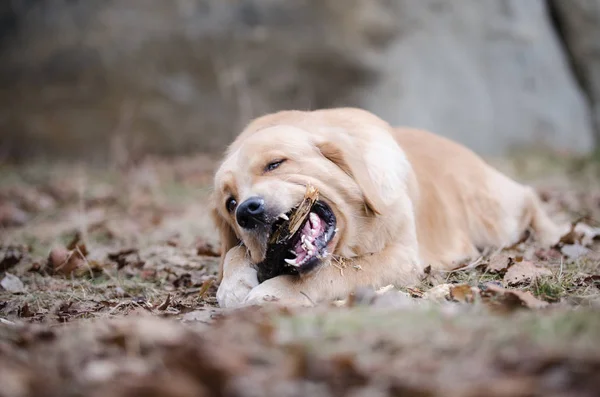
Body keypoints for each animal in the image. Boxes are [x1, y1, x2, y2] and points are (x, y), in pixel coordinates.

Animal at [211, 106, 564, 308]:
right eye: (230, 203)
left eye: (275, 163)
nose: (247, 211)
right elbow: (233, 252)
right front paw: (233, 285)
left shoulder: (401, 257)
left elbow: (332, 273)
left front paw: (274, 292)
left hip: (495, 216)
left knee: (529, 197)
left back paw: (550, 235)